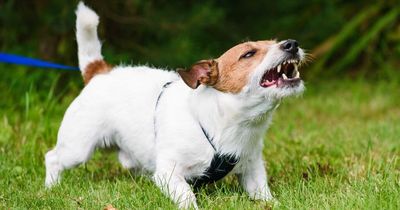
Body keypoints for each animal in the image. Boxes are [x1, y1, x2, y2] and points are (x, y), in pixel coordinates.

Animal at [44, 2, 306, 209]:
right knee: (53, 158)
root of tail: (100, 72)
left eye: (275, 42)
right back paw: (50, 188)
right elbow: (187, 196)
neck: (225, 123)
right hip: (77, 148)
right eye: (248, 54)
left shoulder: (252, 169)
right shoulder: (169, 173)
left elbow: (263, 194)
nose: (292, 44)